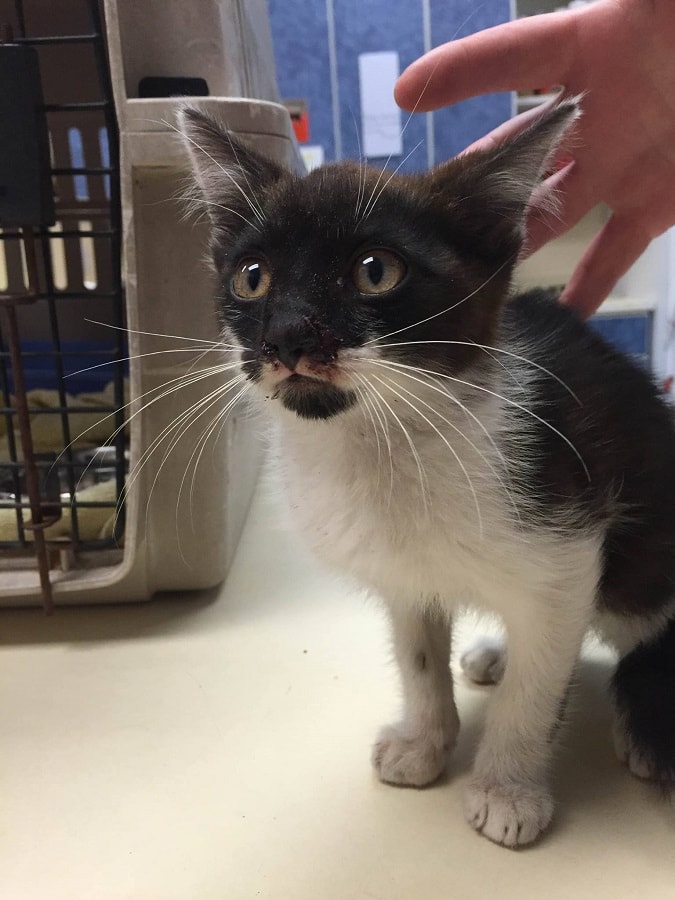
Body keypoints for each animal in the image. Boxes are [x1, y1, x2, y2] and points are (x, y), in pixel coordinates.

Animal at [178, 102, 675, 848]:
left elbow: (538, 684)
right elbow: (416, 656)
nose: (287, 336)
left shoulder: (565, 542)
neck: (385, 447)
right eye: (252, 277)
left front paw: (506, 788)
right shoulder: (402, 576)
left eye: (375, 270)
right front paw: (423, 742)